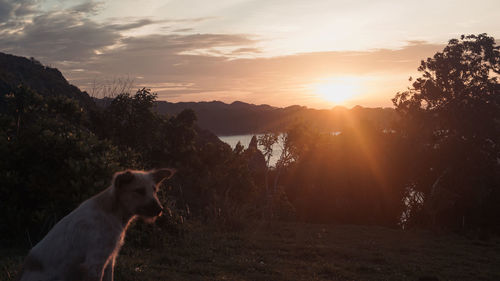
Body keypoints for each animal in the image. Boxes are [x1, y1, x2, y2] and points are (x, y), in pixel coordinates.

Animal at [18, 167, 176, 278]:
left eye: (154, 190)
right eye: (139, 191)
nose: (160, 210)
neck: (112, 212)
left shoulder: (109, 261)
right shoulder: (94, 264)